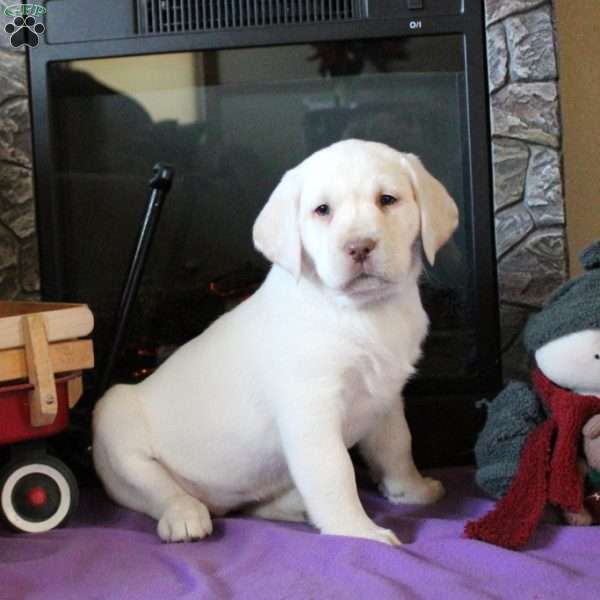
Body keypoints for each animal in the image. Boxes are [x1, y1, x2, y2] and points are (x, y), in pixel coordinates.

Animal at [92, 138, 460, 548]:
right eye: (322, 210)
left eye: (387, 200)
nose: (360, 246)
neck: (363, 311)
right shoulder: (311, 412)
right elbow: (335, 472)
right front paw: (357, 530)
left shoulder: (386, 398)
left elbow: (397, 447)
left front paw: (412, 490)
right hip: (115, 427)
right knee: (158, 489)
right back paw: (185, 516)